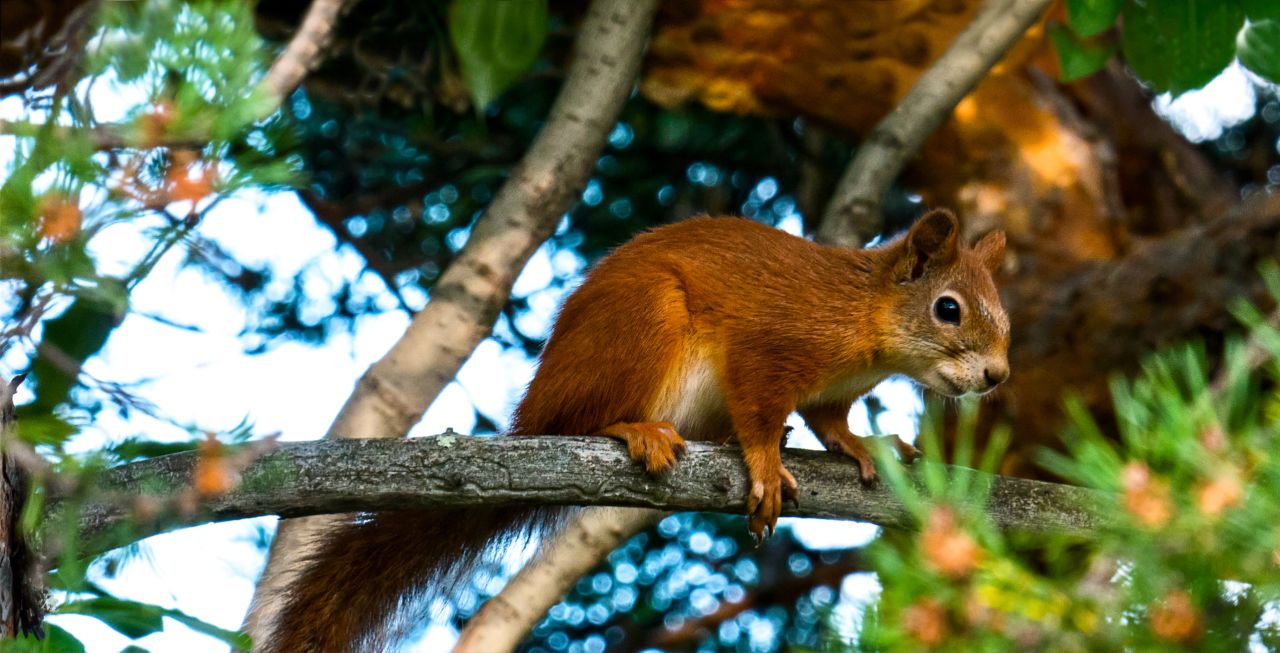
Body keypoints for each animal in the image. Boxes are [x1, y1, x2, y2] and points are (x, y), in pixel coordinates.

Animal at [267, 209, 1008, 653]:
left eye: (1001, 312)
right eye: (948, 309)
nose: (997, 374)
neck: (866, 321)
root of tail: (532, 411)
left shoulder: (835, 392)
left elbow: (831, 422)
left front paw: (861, 445)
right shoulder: (770, 348)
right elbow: (760, 409)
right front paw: (765, 460)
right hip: (645, 320)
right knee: (582, 419)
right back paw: (635, 428)